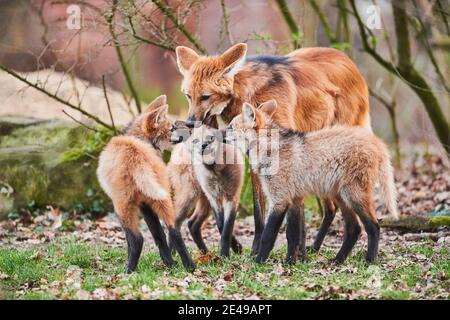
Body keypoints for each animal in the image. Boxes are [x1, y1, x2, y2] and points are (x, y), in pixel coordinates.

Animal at [96, 95, 195, 272]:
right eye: (172, 128)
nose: (190, 130)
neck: (139, 140)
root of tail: (137, 158)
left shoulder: (140, 204)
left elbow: (134, 240)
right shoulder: (147, 202)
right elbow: (159, 235)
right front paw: (169, 261)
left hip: (121, 206)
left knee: (137, 239)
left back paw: (129, 270)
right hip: (163, 198)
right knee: (174, 230)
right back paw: (188, 266)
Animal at [167, 120, 243, 255]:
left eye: (211, 138)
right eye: (196, 140)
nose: (203, 145)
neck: (215, 171)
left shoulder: (231, 197)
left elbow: (227, 227)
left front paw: (226, 253)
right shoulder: (214, 198)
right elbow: (221, 225)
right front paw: (226, 253)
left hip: (203, 199)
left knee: (192, 224)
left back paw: (205, 253)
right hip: (191, 195)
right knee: (176, 221)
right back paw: (174, 254)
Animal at [175, 43, 370, 255]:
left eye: (205, 97)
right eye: (188, 96)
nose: (190, 123)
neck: (247, 94)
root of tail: (349, 61)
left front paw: (295, 253)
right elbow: (258, 211)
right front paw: (257, 248)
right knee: (331, 208)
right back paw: (315, 247)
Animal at [230, 101, 400, 264]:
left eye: (231, 126)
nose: (222, 134)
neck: (271, 150)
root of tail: (377, 142)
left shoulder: (280, 201)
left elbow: (268, 236)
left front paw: (258, 262)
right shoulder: (294, 200)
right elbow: (293, 236)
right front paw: (290, 263)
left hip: (353, 197)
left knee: (374, 226)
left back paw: (369, 261)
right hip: (341, 196)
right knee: (354, 229)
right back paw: (338, 260)